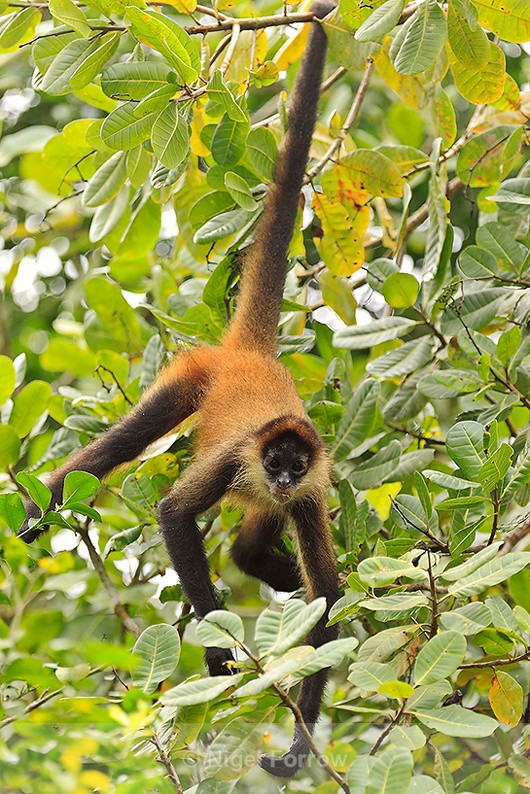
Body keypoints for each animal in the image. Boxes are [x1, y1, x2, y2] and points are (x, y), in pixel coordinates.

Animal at [18, 0, 340, 778]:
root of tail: (252, 356)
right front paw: (219, 653)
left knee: (248, 546)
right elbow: (171, 512)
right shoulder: (236, 460)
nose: (279, 476)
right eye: (276, 458)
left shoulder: (312, 492)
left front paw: (299, 743)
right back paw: (43, 505)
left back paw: (270, 570)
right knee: (121, 446)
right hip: (190, 380)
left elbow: (329, 602)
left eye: (296, 464)